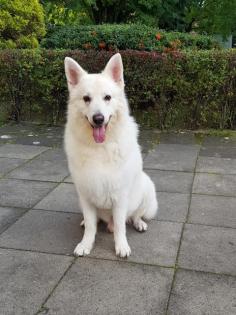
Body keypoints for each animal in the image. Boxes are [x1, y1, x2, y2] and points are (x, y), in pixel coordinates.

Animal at [63, 53, 158, 258]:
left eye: (107, 97)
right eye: (86, 98)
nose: (98, 119)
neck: (100, 147)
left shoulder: (120, 197)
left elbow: (121, 226)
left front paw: (121, 246)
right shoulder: (85, 194)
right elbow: (91, 226)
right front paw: (86, 244)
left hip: (147, 189)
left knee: (134, 215)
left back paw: (139, 223)